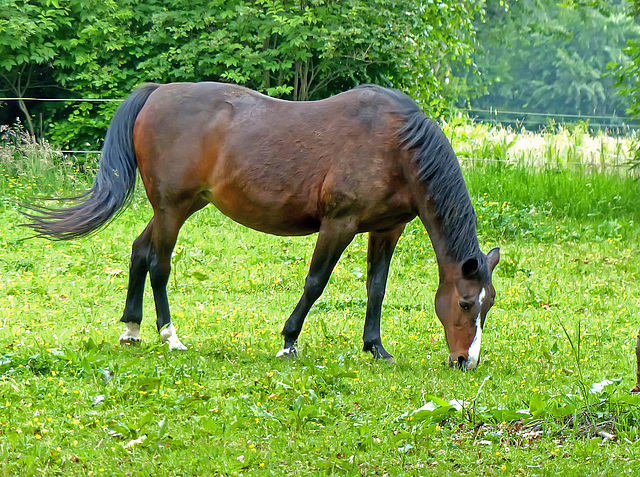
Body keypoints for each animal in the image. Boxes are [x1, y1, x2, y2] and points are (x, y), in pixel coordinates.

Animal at [23, 82, 500, 369]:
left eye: (488, 305)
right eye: (465, 304)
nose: (466, 361)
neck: (397, 146)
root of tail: (156, 92)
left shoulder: (387, 229)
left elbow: (376, 288)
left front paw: (375, 347)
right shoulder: (339, 224)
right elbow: (315, 283)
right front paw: (289, 341)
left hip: (179, 207)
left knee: (140, 252)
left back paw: (132, 329)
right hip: (172, 209)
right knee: (159, 264)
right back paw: (170, 336)